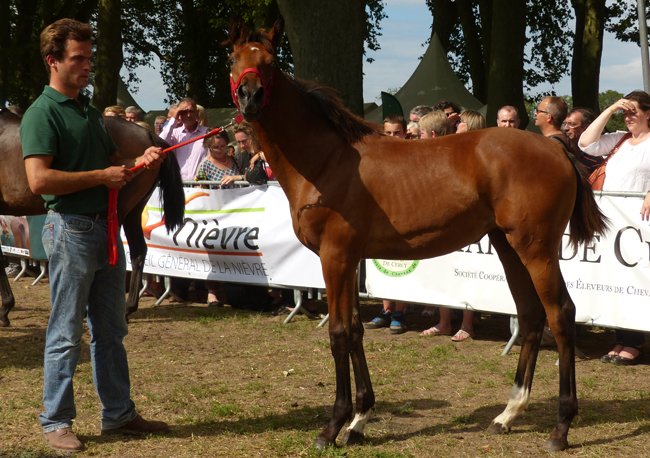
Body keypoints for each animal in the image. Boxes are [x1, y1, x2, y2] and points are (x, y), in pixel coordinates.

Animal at [226, 21, 609, 452]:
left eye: (270, 61)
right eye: (232, 58)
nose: (250, 97)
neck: (328, 161)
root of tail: (557, 150)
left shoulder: (334, 256)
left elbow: (339, 333)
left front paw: (333, 426)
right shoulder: (350, 259)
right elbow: (355, 329)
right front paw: (359, 419)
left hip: (537, 249)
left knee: (561, 315)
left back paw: (561, 427)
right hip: (509, 247)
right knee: (530, 316)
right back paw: (508, 414)